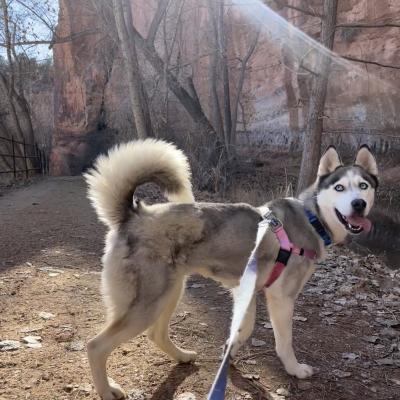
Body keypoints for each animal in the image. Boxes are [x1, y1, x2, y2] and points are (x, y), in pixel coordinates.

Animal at [84, 141, 378, 400]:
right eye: (339, 187)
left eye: (363, 186)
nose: (358, 204)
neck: (312, 217)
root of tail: (133, 214)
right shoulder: (281, 298)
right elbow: (284, 341)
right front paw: (294, 369)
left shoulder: (246, 292)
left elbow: (243, 329)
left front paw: (229, 352)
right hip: (148, 304)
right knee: (95, 346)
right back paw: (107, 390)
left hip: (169, 293)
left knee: (156, 334)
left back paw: (182, 356)